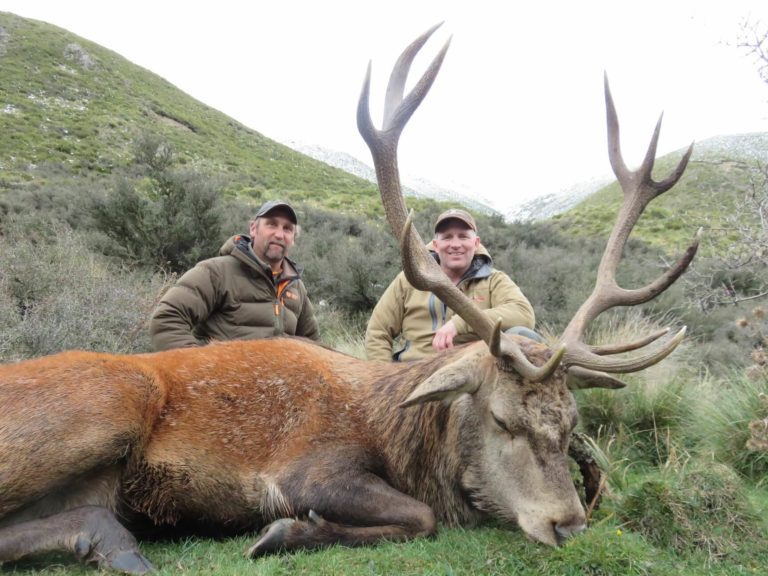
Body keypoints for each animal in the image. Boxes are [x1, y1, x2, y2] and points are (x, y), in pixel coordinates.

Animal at [0, 24, 699, 575]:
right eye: (503, 420)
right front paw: (283, 532)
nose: (569, 525)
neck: (402, 435)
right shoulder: (309, 467)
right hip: (106, 404)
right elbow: (420, 517)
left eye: (573, 424)